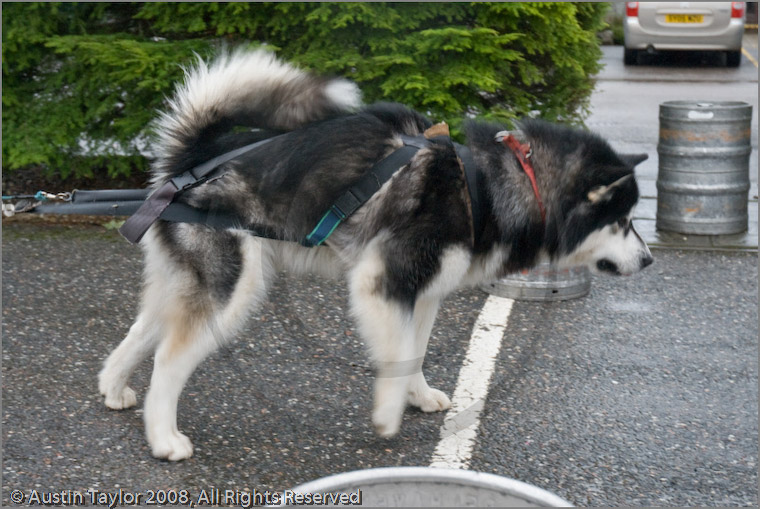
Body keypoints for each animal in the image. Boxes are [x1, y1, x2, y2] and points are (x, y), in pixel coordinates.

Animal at [98, 48, 652, 460]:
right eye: (623, 221)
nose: (648, 261)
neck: (498, 184)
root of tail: (193, 162)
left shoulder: (421, 292)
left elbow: (414, 350)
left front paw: (417, 396)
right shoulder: (382, 281)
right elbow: (397, 351)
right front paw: (388, 415)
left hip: (188, 279)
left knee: (143, 329)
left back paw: (114, 388)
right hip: (234, 288)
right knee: (169, 357)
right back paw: (163, 438)